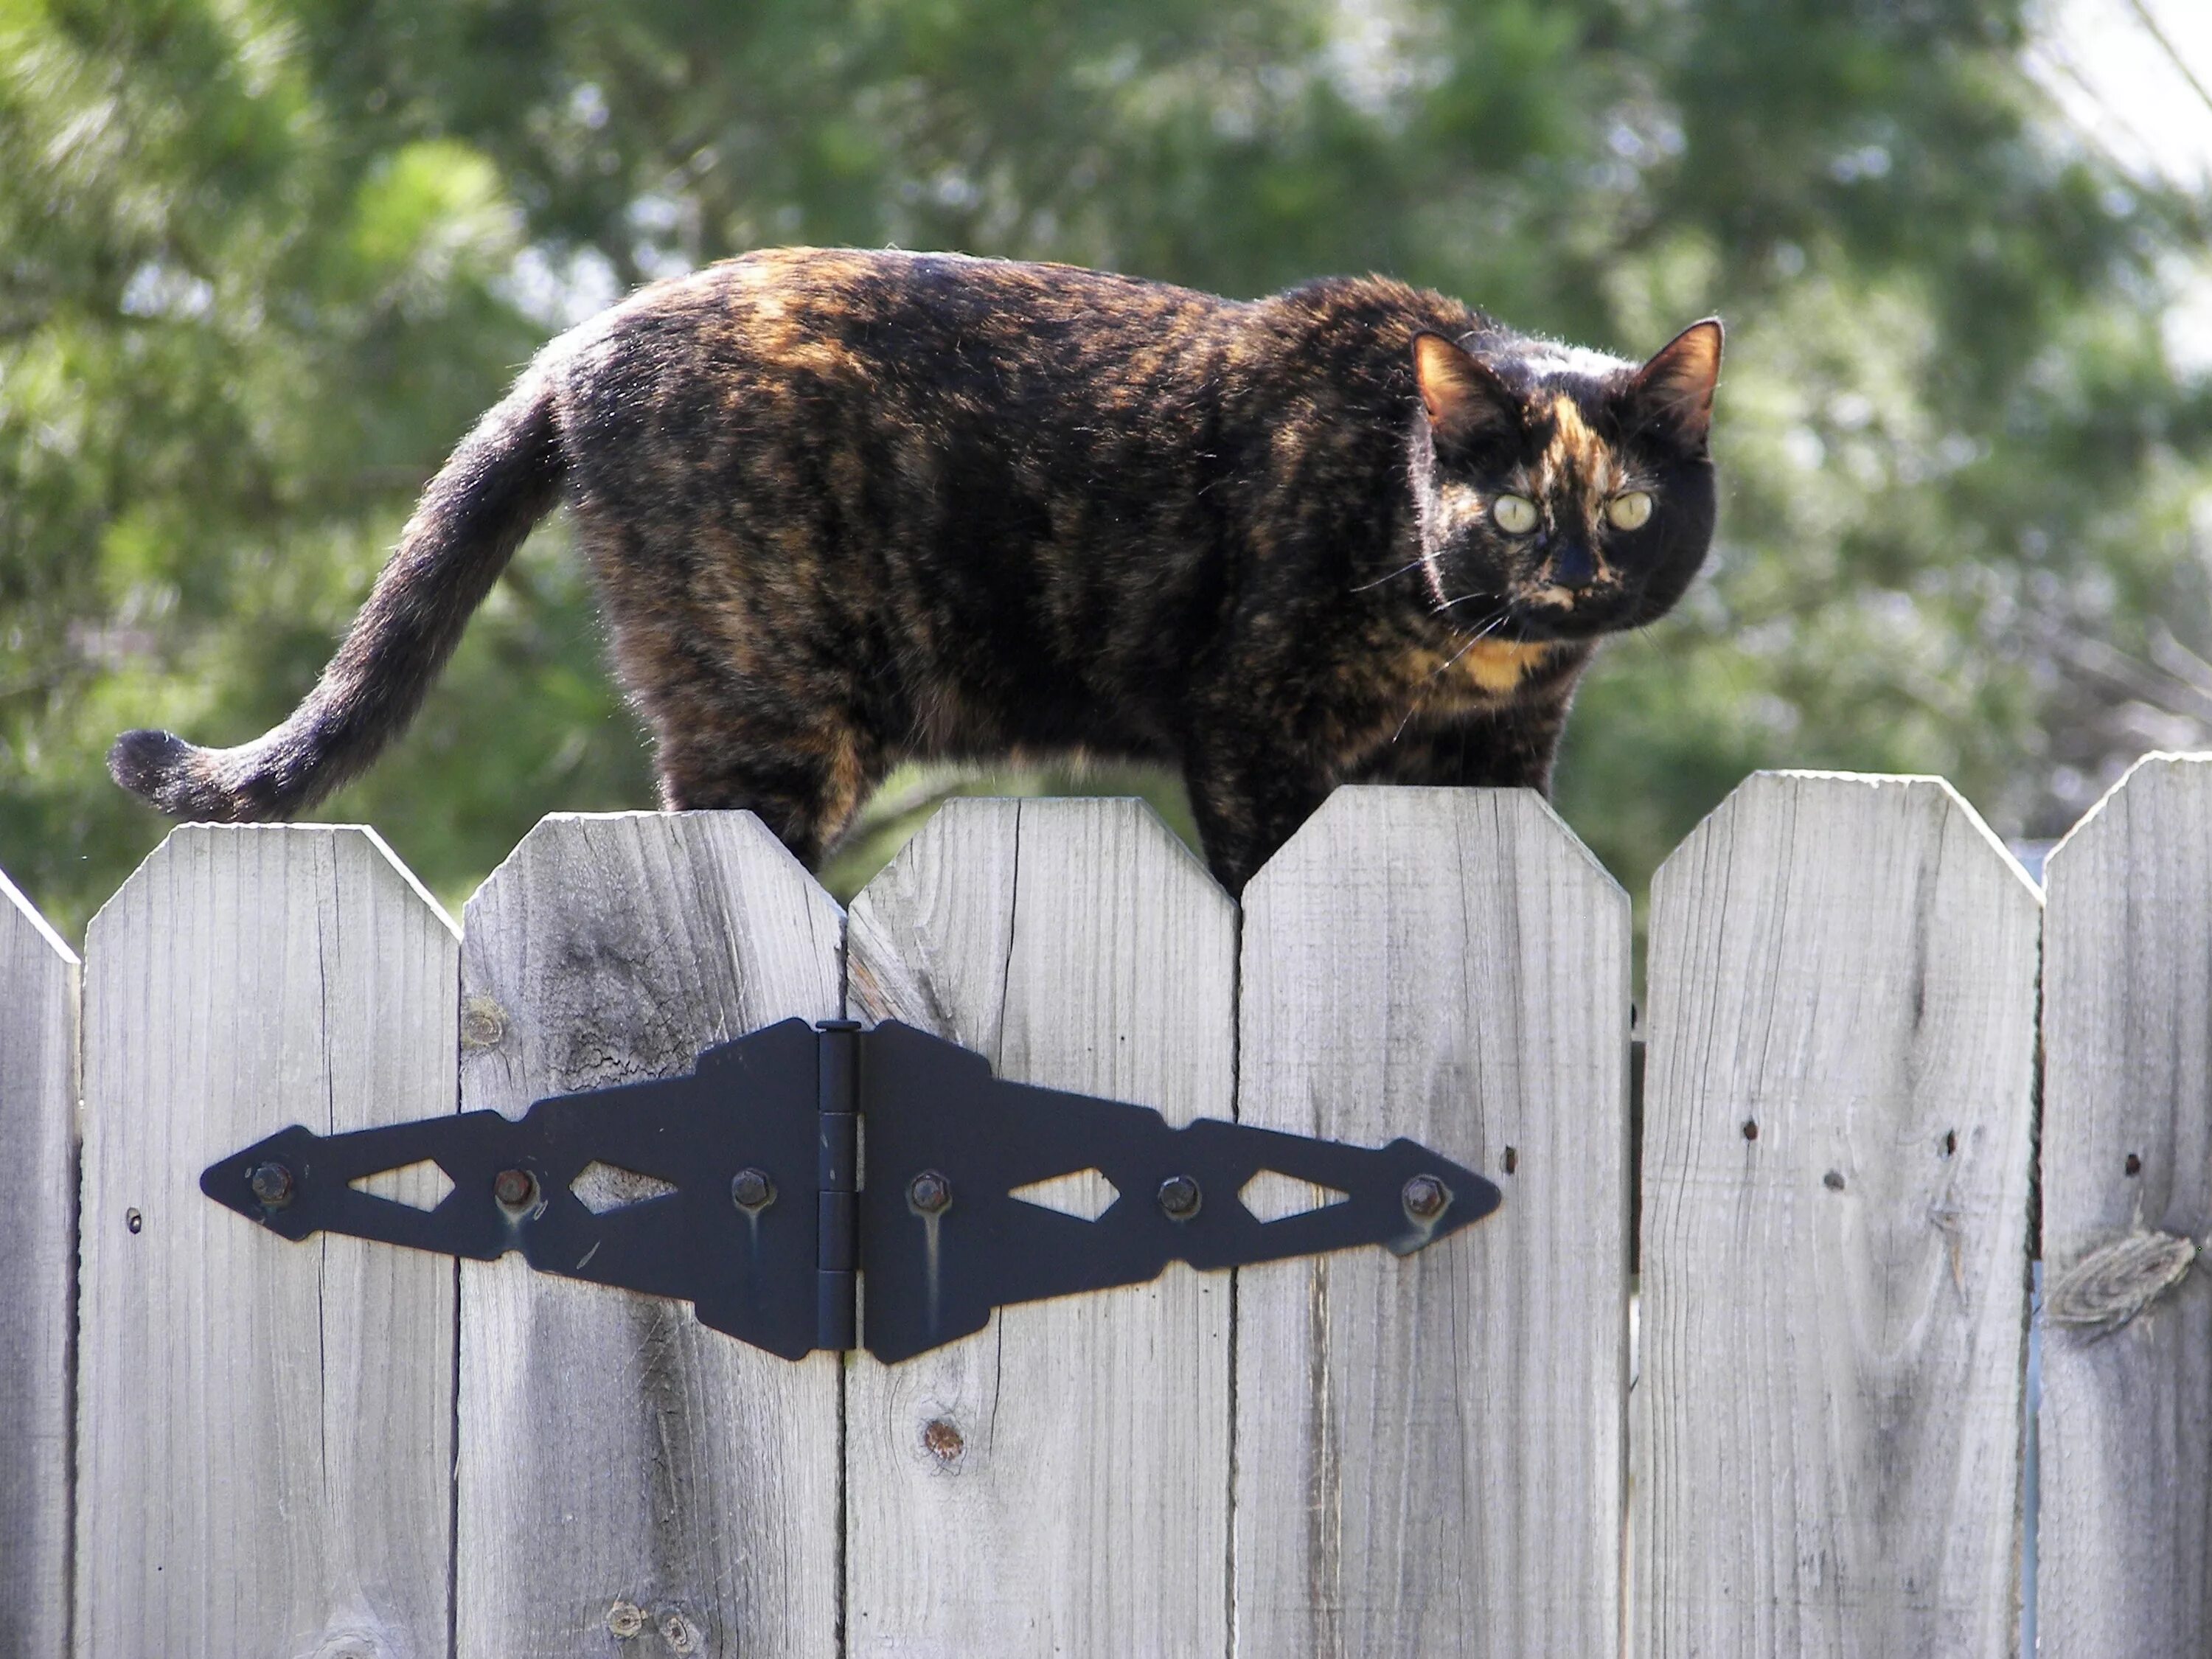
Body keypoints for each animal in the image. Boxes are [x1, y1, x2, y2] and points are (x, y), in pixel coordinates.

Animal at [112, 246, 1717, 898]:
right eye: (1509, 511)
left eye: (1630, 503)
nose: (1574, 570)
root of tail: (581, 341)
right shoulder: (1253, 724)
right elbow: (1264, 869)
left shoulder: (1500, 760)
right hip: (778, 711)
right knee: (724, 843)